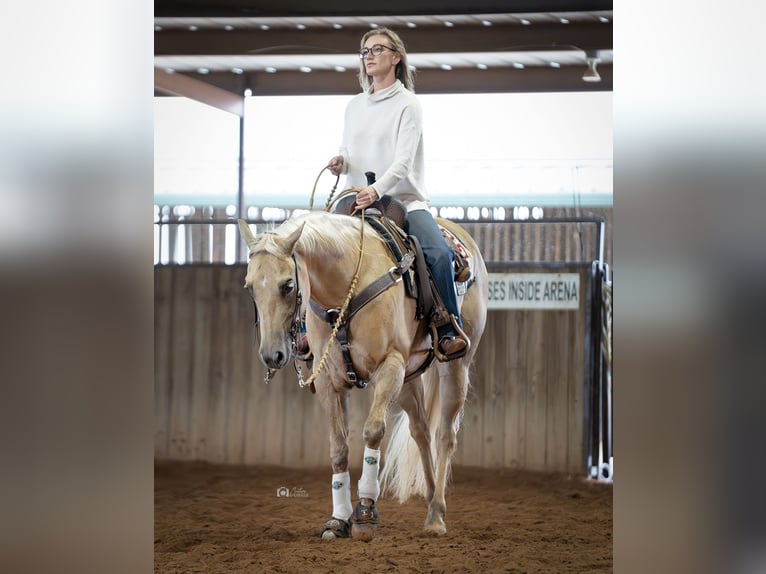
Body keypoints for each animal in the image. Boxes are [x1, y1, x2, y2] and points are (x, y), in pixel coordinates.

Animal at [238, 210, 492, 540]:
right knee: (421, 432)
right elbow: (339, 447)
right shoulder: (329, 381)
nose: (272, 355)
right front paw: (338, 519)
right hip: (409, 378)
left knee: (445, 435)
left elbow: (372, 432)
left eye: (288, 286)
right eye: (249, 286)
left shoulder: (389, 367)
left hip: (454, 366)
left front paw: (366, 514)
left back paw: (436, 514)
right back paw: (429, 501)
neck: (345, 290)